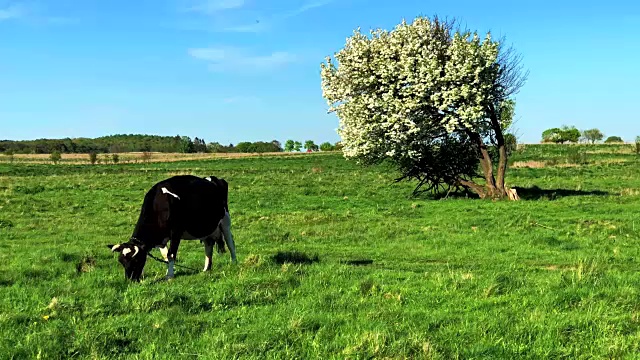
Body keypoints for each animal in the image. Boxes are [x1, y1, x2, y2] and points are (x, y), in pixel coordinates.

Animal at [107, 174, 238, 282]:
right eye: (121, 261)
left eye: (136, 260)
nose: (130, 280)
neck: (159, 205)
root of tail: (211, 178)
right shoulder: (161, 238)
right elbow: (166, 256)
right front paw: (171, 271)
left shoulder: (176, 232)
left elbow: (171, 254)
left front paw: (169, 276)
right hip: (205, 227)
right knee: (208, 246)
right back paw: (206, 269)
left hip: (225, 221)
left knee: (230, 242)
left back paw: (234, 262)